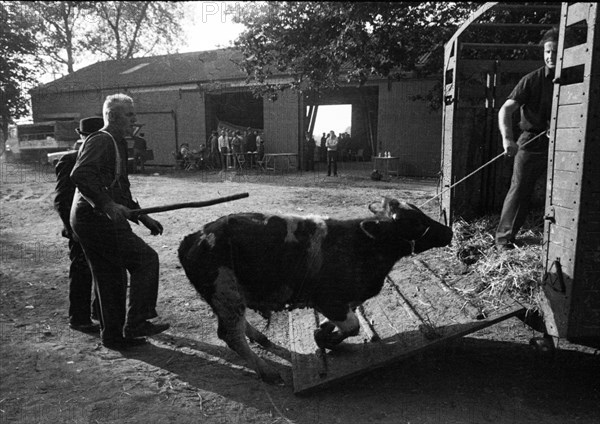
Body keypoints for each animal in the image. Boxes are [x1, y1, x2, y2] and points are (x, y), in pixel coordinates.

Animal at [178, 197, 450, 382]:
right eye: (416, 222)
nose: (448, 231)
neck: (361, 243)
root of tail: (193, 237)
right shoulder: (329, 300)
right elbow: (352, 326)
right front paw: (327, 338)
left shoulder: (345, 301)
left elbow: (343, 321)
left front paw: (325, 331)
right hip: (226, 294)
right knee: (230, 334)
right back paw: (267, 371)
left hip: (230, 299)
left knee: (238, 327)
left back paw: (261, 339)